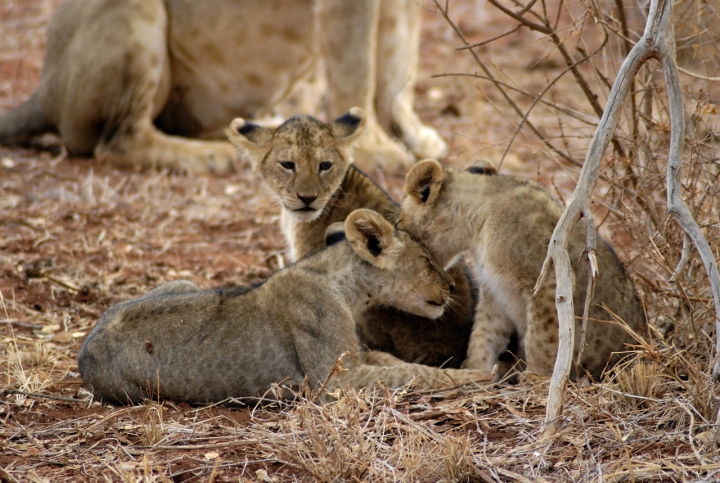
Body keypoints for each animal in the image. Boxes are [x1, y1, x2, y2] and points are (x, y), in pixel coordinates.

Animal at [0, 0, 448, 174]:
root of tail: (43, 92)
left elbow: (398, 64)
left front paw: (416, 137)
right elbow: (357, 69)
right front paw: (371, 148)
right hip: (133, 14)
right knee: (120, 142)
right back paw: (214, 157)